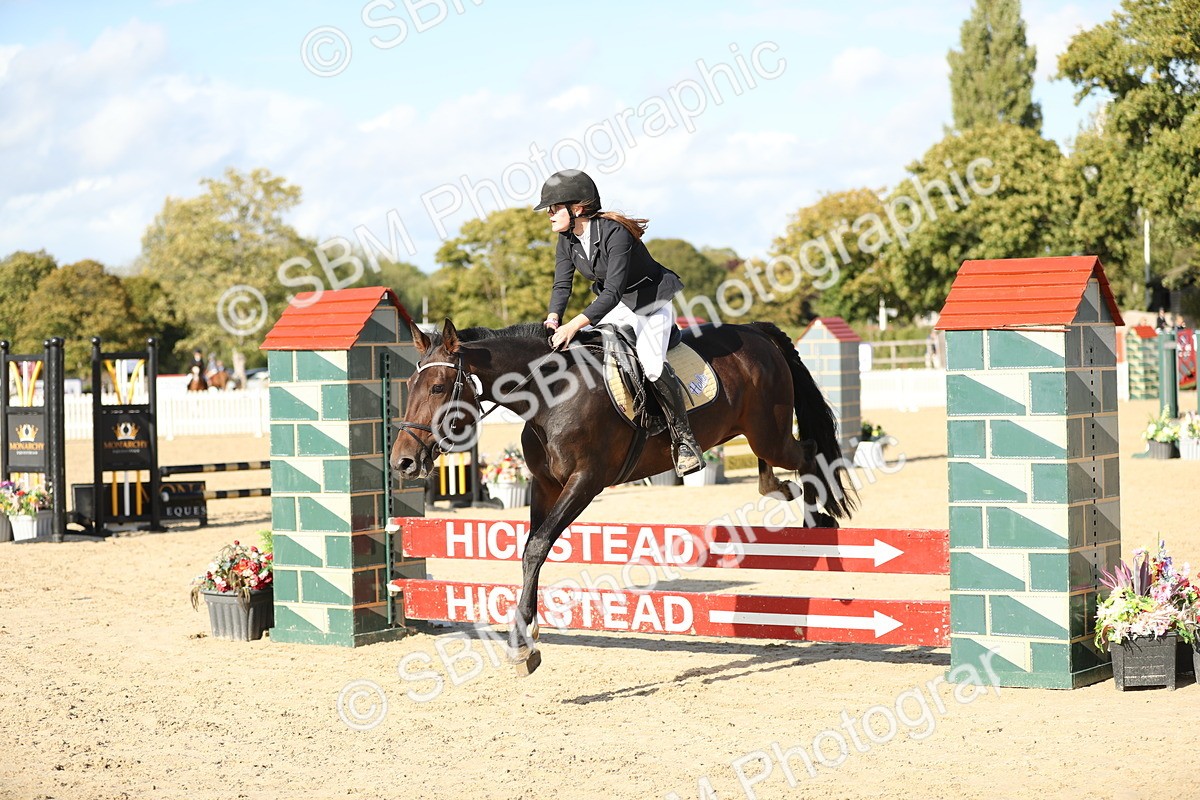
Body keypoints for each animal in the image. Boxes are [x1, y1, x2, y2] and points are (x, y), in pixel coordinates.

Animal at [391, 318, 855, 676]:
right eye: (410, 382)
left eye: (438, 387)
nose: (403, 462)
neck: (548, 395)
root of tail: (757, 331)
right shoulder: (545, 485)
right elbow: (529, 551)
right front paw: (525, 638)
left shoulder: (586, 481)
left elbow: (539, 545)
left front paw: (522, 645)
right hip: (757, 434)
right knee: (782, 465)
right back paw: (784, 493)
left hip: (769, 432)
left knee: (810, 452)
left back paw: (820, 524)